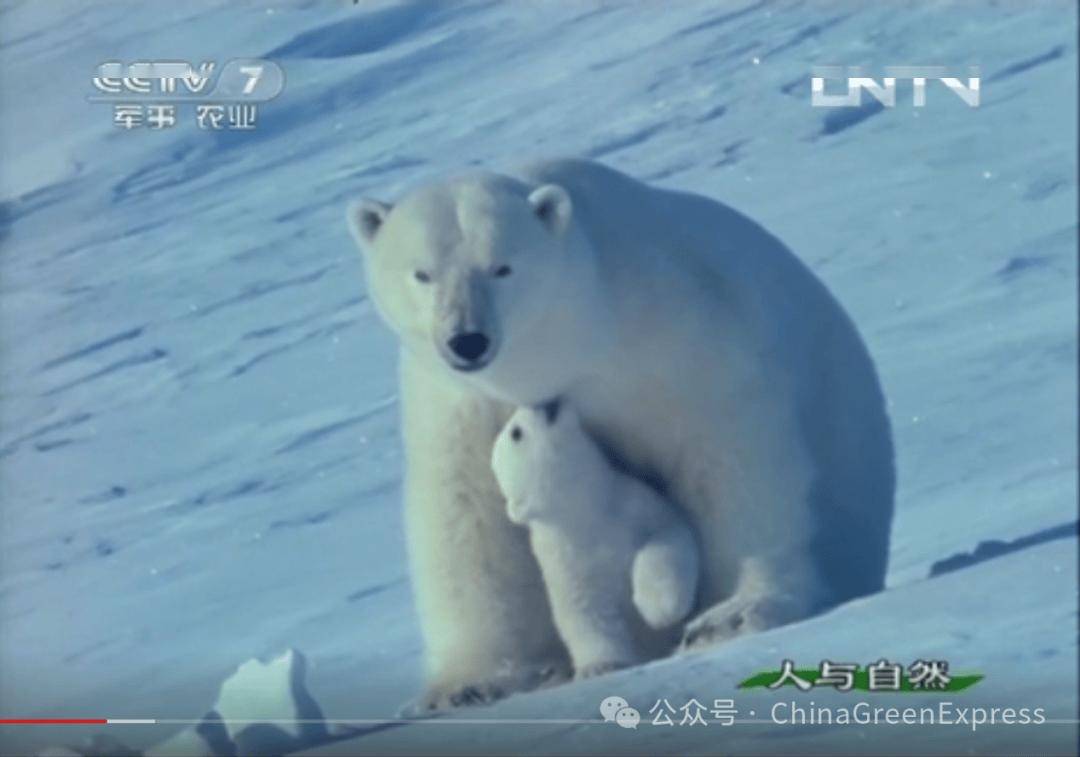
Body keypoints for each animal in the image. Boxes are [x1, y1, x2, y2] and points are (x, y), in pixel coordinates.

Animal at [490, 400, 699, 678]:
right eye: (516, 433)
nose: (544, 404)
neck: (585, 514)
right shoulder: (563, 561)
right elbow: (584, 612)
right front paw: (601, 665)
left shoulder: (632, 503)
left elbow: (667, 534)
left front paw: (660, 608)